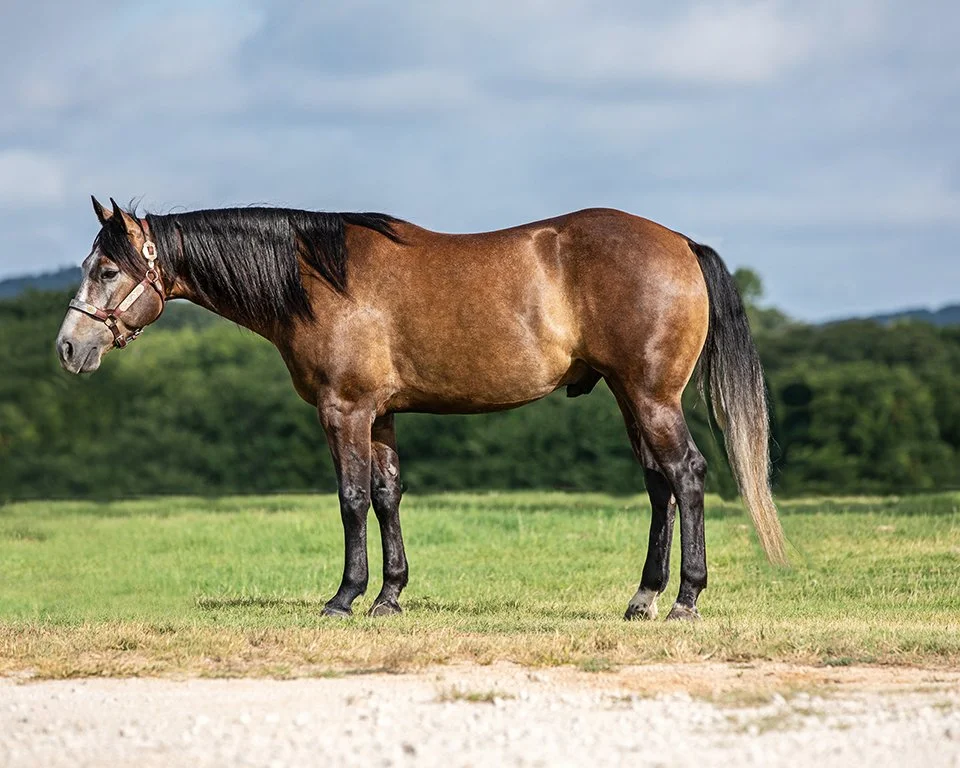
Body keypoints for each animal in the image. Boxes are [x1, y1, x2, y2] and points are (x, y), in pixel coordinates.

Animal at [56, 197, 787, 621]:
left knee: (686, 475)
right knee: (658, 485)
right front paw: (390, 596)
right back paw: (643, 598)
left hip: (650, 395)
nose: (69, 348)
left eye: (108, 270)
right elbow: (387, 495)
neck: (318, 277)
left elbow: (351, 498)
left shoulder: (344, 411)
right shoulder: (380, 415)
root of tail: (680, 241)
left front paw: (344, 597)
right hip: (629, 395)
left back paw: (686, 599)